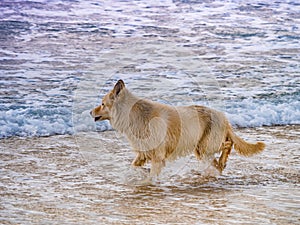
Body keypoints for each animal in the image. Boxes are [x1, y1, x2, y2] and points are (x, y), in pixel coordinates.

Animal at [90, 79, 264, 181]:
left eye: (103, 104)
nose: (90, 112)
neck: (133, 114)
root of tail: (224, 117)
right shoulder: (143, 154)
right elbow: (133, 166)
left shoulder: (157, 156)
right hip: (200, 149)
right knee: (218, 159)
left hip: (206, 145)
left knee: (228, 145)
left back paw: (221, 162)